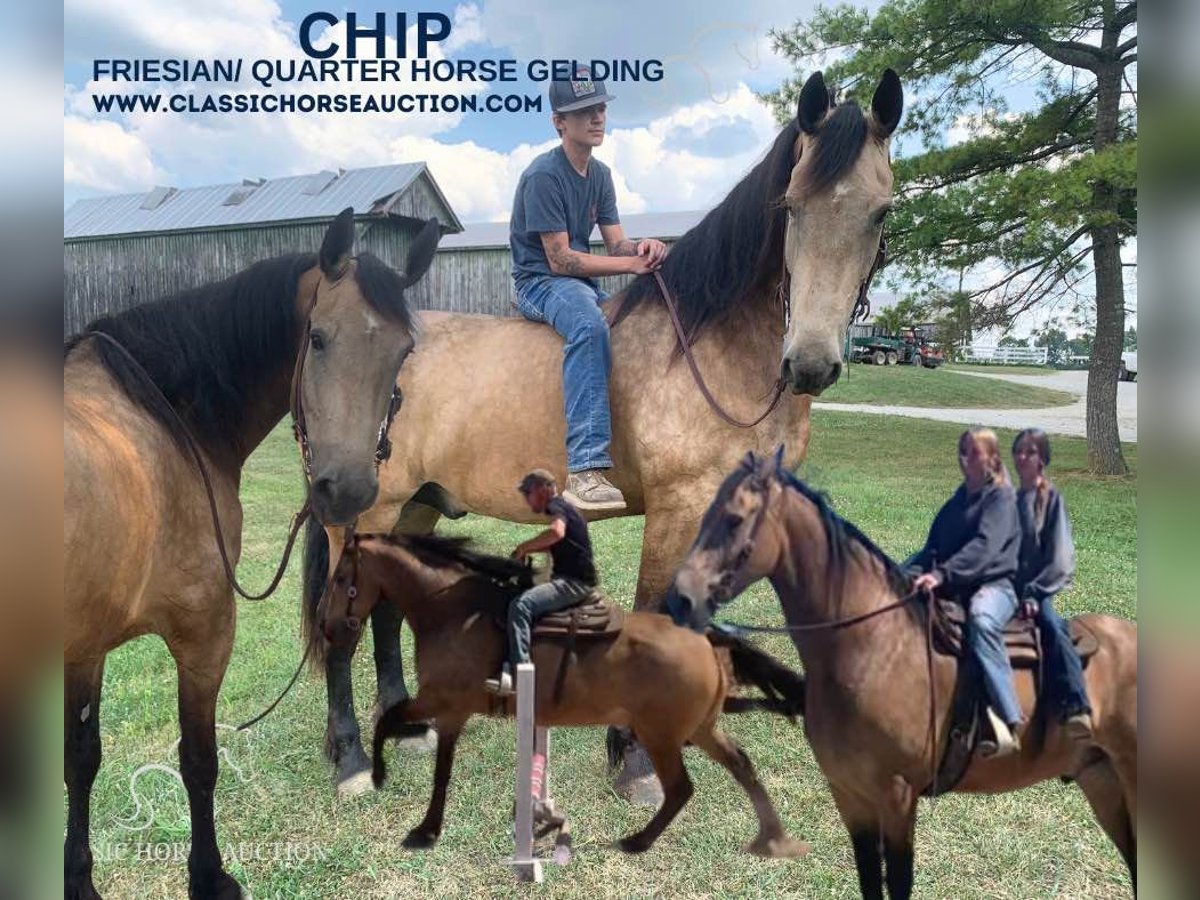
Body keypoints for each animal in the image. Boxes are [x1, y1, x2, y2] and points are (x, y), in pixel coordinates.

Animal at [63, 213, 439, 900]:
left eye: (403, 351)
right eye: (317, 338)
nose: (348, 491)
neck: (166, 421)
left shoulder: (86, 643)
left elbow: (82, 758)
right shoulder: (205, 631)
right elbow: (197, 758)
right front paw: (210, 878)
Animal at [304, 72, 902, 801]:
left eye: (880, 212)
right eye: (791, 206)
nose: (810, 362)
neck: (710, 346)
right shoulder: (676, 509)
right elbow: (658, 612)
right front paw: (637, 760)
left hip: (415, 505)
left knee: (388, 610)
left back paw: (409, 727)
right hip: (362, 510)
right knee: (342, 625)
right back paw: (351, 760)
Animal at [316, 532, 806, 864]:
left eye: (340, 577)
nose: (328, 627)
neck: (453, 612)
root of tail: (707, 640)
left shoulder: (446, 705)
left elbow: (405, 735)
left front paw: (401, 802)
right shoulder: (447, 710)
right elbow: (406, 733)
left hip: (662, 736)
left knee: (682, 787)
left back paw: (637, 841)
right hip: (699, 729)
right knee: (741, 764)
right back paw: (771, 838)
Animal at [672, 453, 1137, 900]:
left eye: (734, 519)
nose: (680, 599)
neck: (873, 648)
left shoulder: (896, 796)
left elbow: (897, 883)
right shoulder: (849, 794)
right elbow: (869, 880)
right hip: (1103, 783)